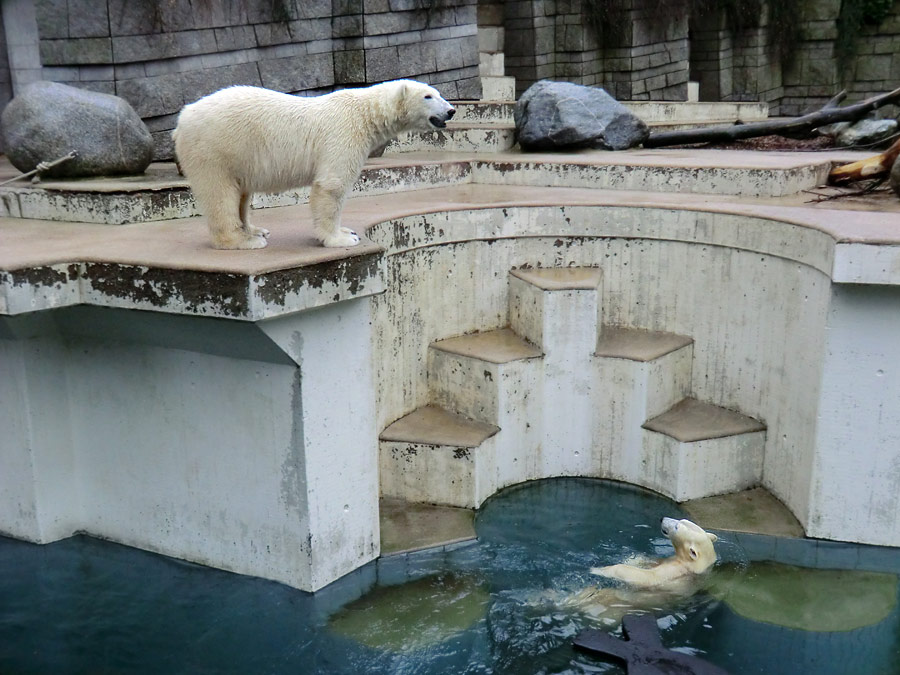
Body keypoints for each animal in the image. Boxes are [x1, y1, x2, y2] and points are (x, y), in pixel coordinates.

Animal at [173, 79, 458, 248]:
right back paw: (243, 241)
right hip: (216, 147)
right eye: (428, 96)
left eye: (439, 93)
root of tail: (182, 120)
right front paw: (341, 238)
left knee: (241, 194)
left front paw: (347, 231)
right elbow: (332, 185)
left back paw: (256, 231)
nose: (451, 110)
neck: (365, 113)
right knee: (220, 193)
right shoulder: (343, 134)